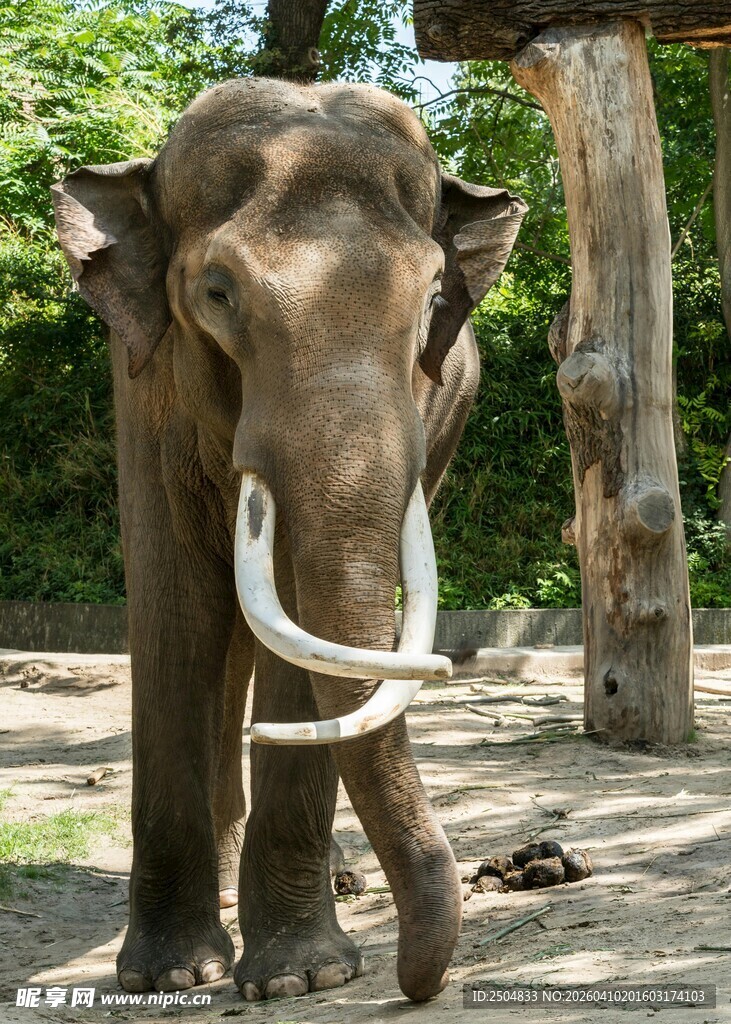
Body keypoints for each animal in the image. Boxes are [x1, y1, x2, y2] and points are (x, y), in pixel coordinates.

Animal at [51, 77, 526, 1003]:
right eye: (217, 294)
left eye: (432, 302)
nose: (420, 984)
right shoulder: (142, 378)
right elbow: (171, 609)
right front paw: (167, 974)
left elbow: (299, 628)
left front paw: (299, 980)